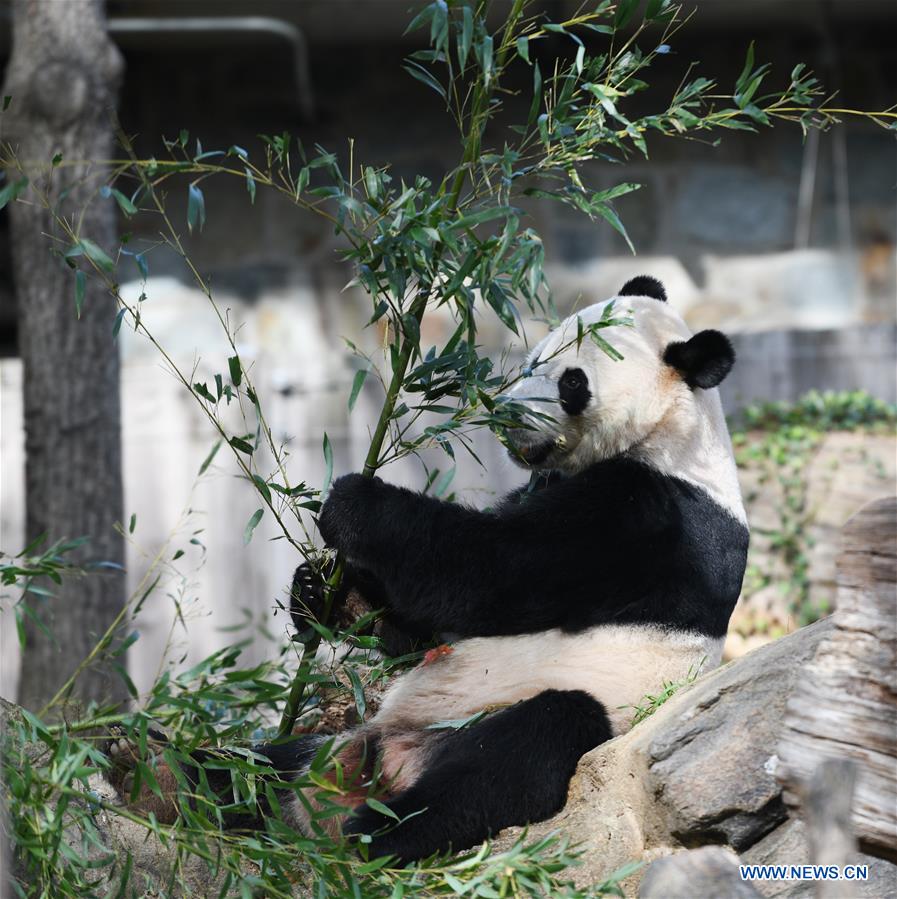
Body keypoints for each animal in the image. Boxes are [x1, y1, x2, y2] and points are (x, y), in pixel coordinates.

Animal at [107, 275, 748, 864]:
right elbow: (418, 632)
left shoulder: (652, 521)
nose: (507, 414)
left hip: (533, 717)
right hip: (329, 744)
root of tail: (374, 773)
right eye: (535, 358)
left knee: (521, 750)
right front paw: (320, 591)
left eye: (573, 383)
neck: (674, 433)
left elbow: (488, 571)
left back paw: (375, 832)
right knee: (252, 769)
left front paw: (353, 504)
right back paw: (154, 773)